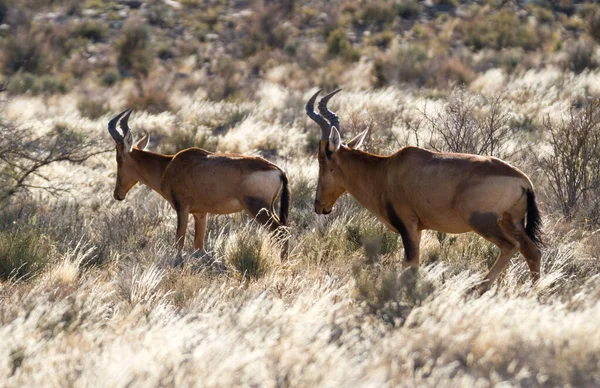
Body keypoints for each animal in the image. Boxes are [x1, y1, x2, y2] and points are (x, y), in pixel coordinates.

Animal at [107, 108, 290, 264]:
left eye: (119, 158)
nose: (117, 194)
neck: (169, 165)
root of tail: (279, 170)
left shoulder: (182, 207)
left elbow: (179, 242)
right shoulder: (200, 213)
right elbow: (199, 248)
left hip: (257, 208)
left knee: (281, 232)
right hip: (269, 208)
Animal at [308, 88, 540, 288]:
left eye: (323, 160)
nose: (319, 206)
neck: (386, 170)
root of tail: (523, 180)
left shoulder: (408, 227)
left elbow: (411, 267)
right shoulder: (417, 230)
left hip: (484, 222)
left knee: (510, 247)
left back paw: (478, 289)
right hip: (511, 222)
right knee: (532, 251)